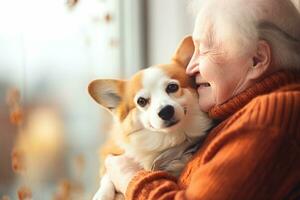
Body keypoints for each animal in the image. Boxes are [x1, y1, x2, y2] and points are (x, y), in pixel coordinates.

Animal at [88, 36, 212, 200]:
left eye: (172, 87)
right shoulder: (110, 152)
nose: (166, 111)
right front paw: (102, 195)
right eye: (141, 101)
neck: (166, 141)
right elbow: (106, 177)